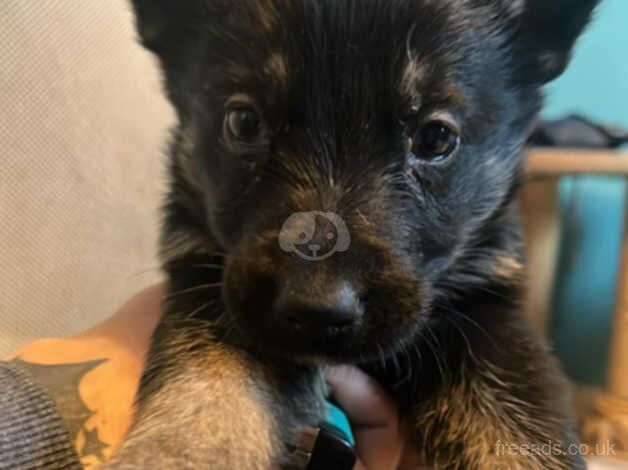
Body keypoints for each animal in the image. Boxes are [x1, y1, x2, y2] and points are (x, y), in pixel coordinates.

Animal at [108, 1, 600, 468]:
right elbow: (207, 392)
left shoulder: (487, 314)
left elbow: (518, 432)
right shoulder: (205, 282)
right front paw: (177, 449)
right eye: (243, 122)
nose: (317, 308)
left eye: (436, 138)